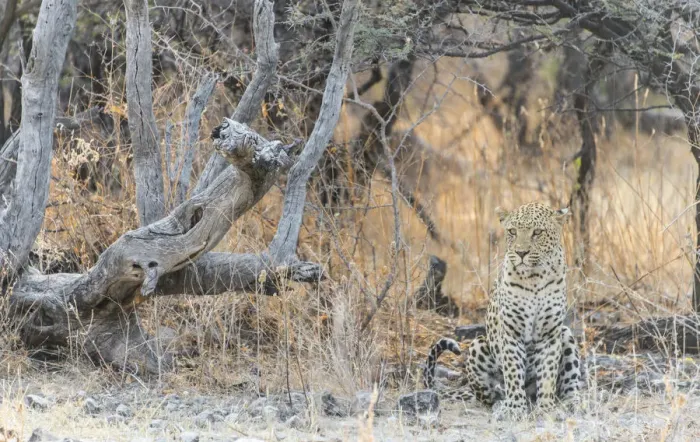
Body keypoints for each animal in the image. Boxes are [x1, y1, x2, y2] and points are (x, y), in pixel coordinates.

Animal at [423, 202, 582, 419]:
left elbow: (548, 375)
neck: (534, 278)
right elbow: (513, 372)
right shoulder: (511, 333)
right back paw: (503, 405)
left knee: (569, 385)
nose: (521, 253)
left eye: (537, 232)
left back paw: (571, 403)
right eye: (512, 231)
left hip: (565, 335)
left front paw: (546, 409)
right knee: (490, 396)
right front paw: (515, 409)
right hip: (478, 346)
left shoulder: (550, 334)